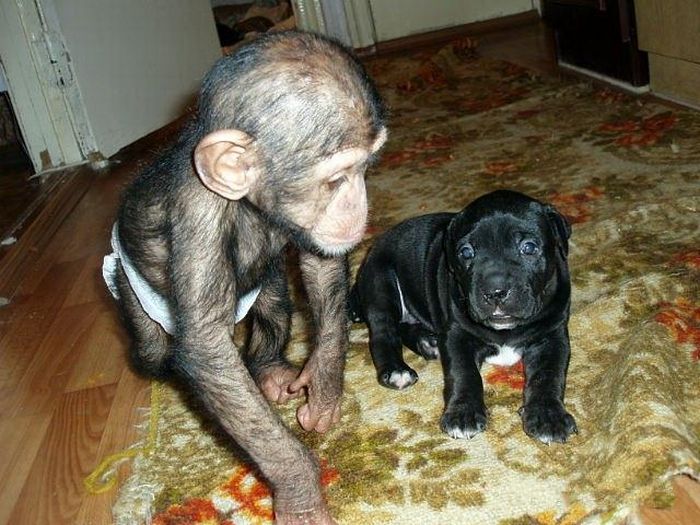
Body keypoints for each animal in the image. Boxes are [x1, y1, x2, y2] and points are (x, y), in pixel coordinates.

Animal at [352, 188, 576, 442]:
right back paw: (396, 370)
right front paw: (463, 414)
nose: (495, 291)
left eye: (528, 248)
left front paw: (548, 416)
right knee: (384, 333)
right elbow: (463, 373)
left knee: (404, 325)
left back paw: (427, 342)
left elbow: (548, 375)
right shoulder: (457, 335)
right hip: (381, 284)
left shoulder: (552, 336)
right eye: (466, 252)